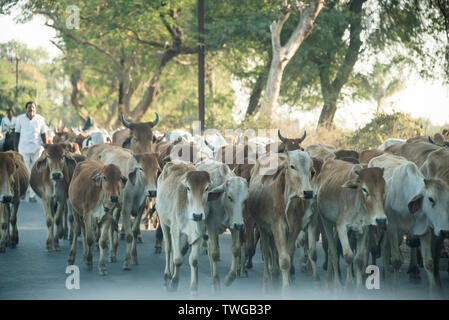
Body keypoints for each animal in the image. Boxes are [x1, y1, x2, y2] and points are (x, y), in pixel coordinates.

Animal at [156, 160, 222, 296]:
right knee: (169, 249)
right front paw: (174, 283)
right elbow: (177, 259)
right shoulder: (175, 230)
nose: (197, 215)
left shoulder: (198, 235)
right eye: (188, 188)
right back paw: (167, 276)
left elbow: (194, 260)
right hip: (164, 223)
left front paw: (193, 287)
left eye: (207, 188)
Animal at [193, 158, 247, 292]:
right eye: (230, 197)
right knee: (211, 250)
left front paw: (229, 278)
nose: (240, 225)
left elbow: (236, 250)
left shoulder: (234, 226)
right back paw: (213, 279)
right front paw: (217, 283)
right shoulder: (212, 226)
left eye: (245, 200)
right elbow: (215, 253)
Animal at [247, 150, 314, 296]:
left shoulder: (295, 228)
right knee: (266, 251)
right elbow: (284, 260)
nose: (308, 192)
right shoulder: (277, 226)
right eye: (292, 166)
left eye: (311, 170)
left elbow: (288, 254)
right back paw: (267, 282)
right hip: (263, 228)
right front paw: (285, 291)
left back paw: (276, 276)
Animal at [316, 159, 384, 288]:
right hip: (326, 222)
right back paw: (334, 282)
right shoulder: (341, 226)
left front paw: (358, 286)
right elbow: (348, 256)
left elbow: (359, 259)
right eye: (364, 189)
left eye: (383, 190)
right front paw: (349, 285)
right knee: (332, 251)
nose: (381, 220)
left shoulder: (363, 229)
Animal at [368, 153, 448, 292]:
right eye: (431, 199)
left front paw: (433, 291)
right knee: (375, 247)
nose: (444, 231)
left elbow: (429, 263)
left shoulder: (424, 231)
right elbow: (396, 261)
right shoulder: (392, 228)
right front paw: (395, 291)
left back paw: (387, 280)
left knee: (384, 248)